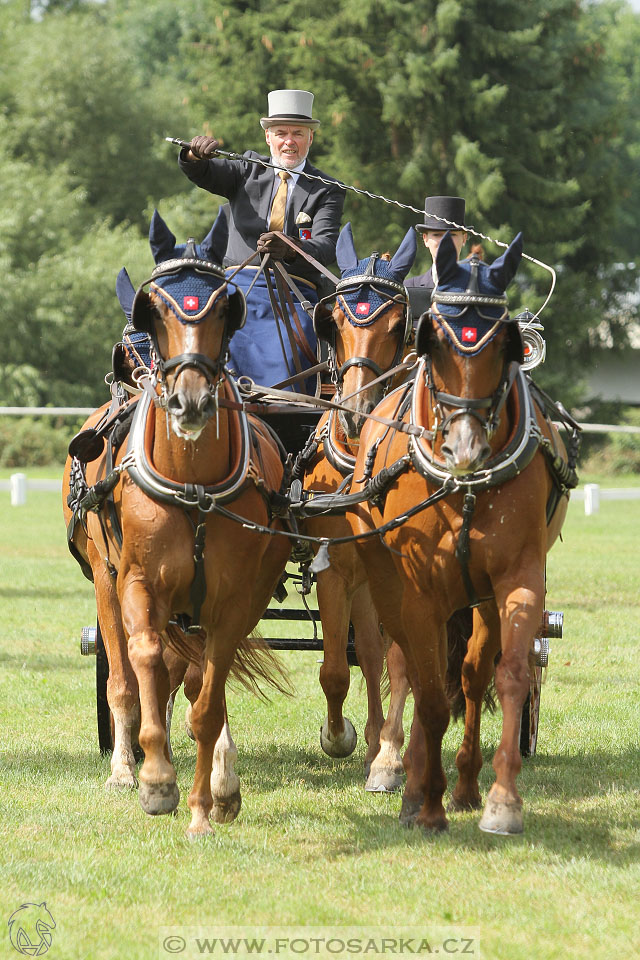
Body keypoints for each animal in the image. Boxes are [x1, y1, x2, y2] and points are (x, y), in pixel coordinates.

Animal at [63, 216, 290, 832]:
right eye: (152, 312)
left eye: (222, 310)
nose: (189, 402)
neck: (192, 485)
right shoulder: (137, 582)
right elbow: (143, 662)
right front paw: (155, 777)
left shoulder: (233, 599)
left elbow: (207, 697)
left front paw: (206, 803)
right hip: (106, 578)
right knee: (126, 677)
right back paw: (126, 764)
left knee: (193, 677)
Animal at [348, 232, 576, 832]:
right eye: (437, 344)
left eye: (506, 346)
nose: (464, 450)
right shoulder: (421, 585)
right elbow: (427, 688)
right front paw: (426, 803)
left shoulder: (517, 577)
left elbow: (509, 672)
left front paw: (500, 799)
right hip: (387, 580)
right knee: (405, 662)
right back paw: (402, 773)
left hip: (477, 596)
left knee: (471, 673)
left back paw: (465, 783)